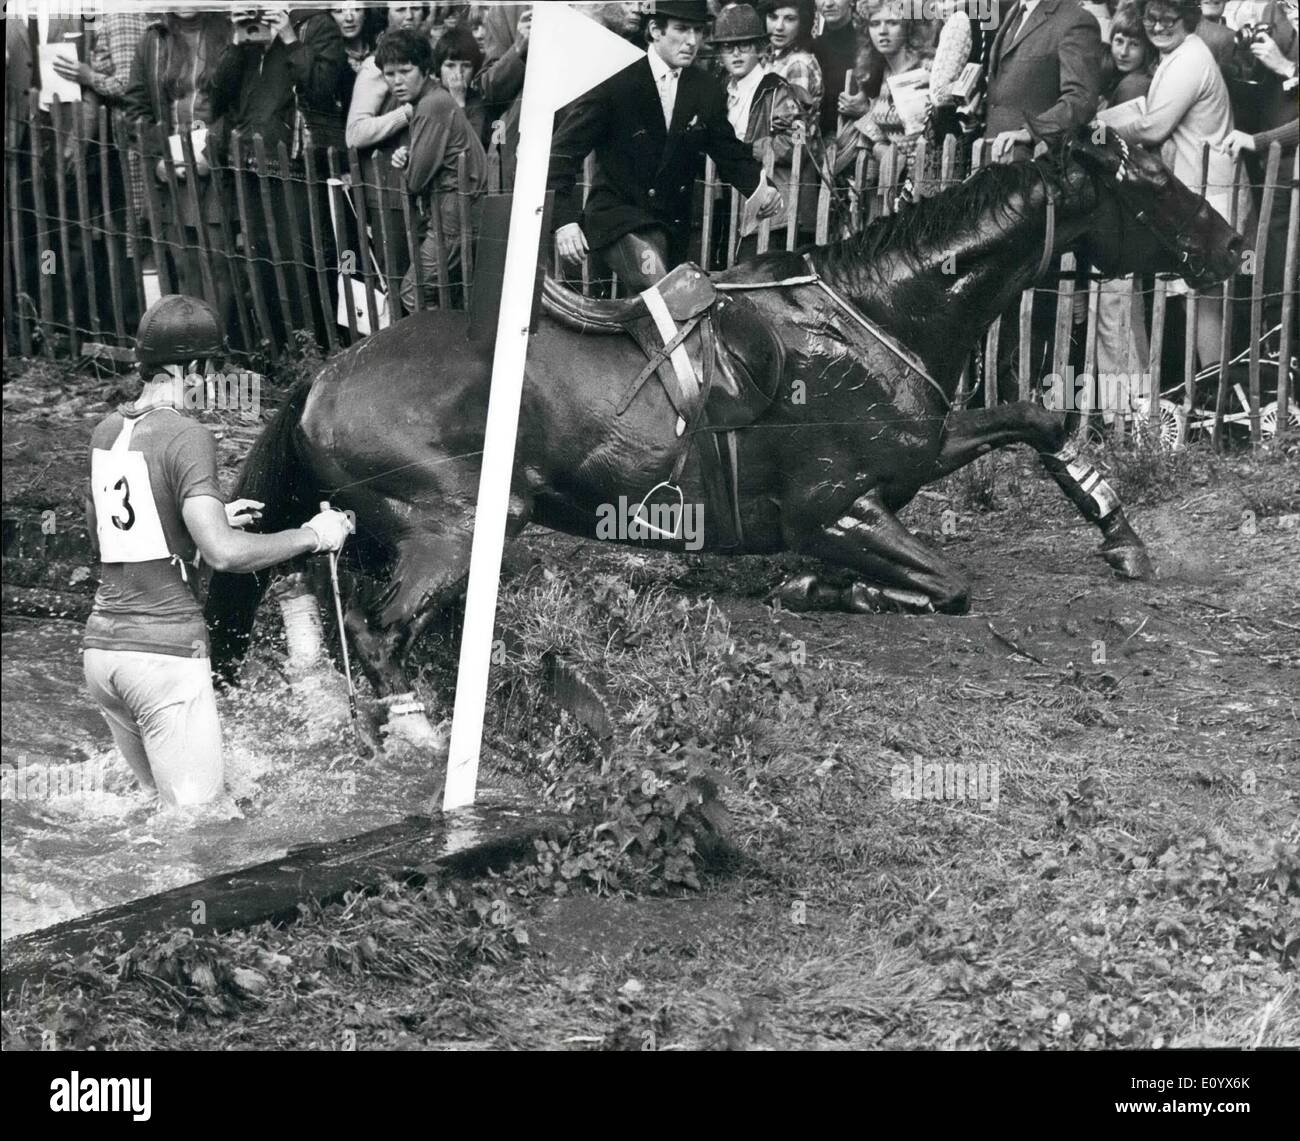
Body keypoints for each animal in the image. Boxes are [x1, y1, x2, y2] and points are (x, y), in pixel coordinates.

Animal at [208, 124, 1242, 738]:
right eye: (1152, 187)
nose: (1232, 248)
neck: (882, 310)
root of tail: (320, 379)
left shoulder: (916, 458)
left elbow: (1038, 416)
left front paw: (1120, 532)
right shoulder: (836, 509)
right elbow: (946, 584)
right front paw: (828, 590)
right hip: (461, 523)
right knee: (378, 631)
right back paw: (417, 727)